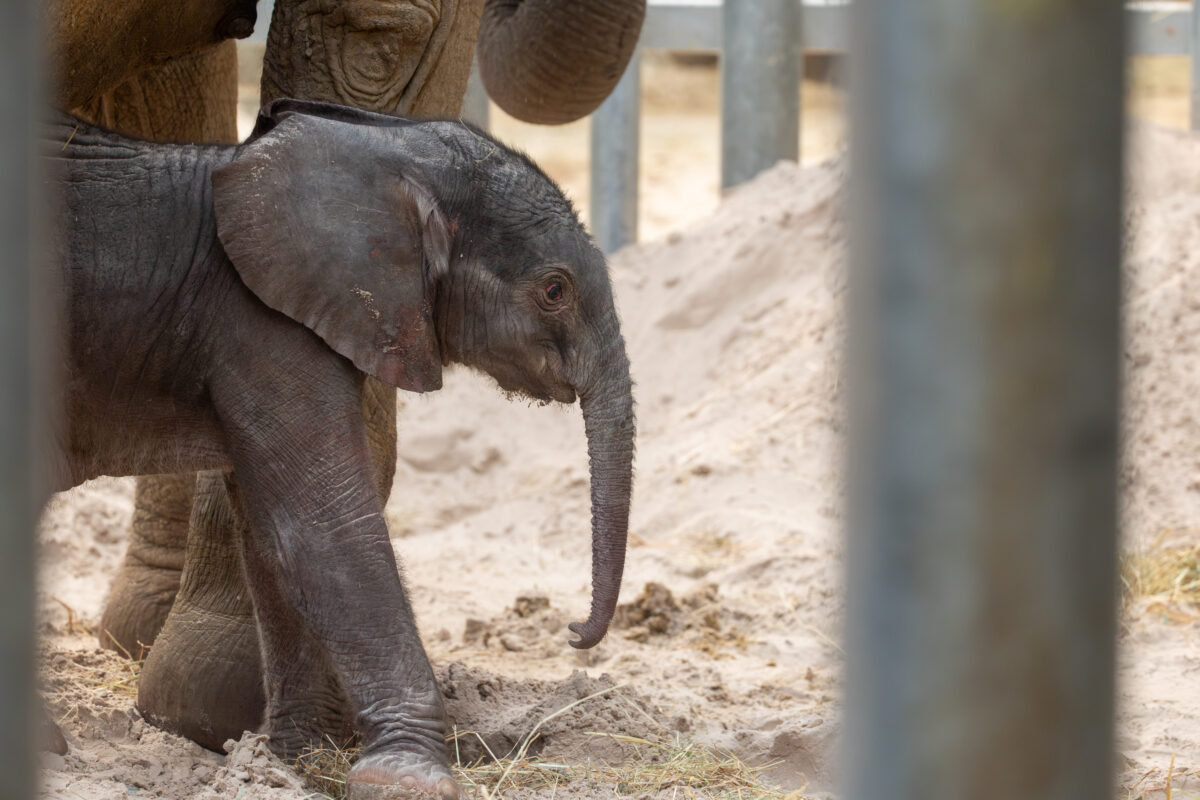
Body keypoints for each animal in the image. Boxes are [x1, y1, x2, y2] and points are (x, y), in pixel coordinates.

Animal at [47, 98, 635, 798]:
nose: (574, 632)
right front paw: (406, 779)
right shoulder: (261, 325)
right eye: (555, 291)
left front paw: (292, 760)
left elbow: (270, 535)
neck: (380, 149)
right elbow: (325, 527)